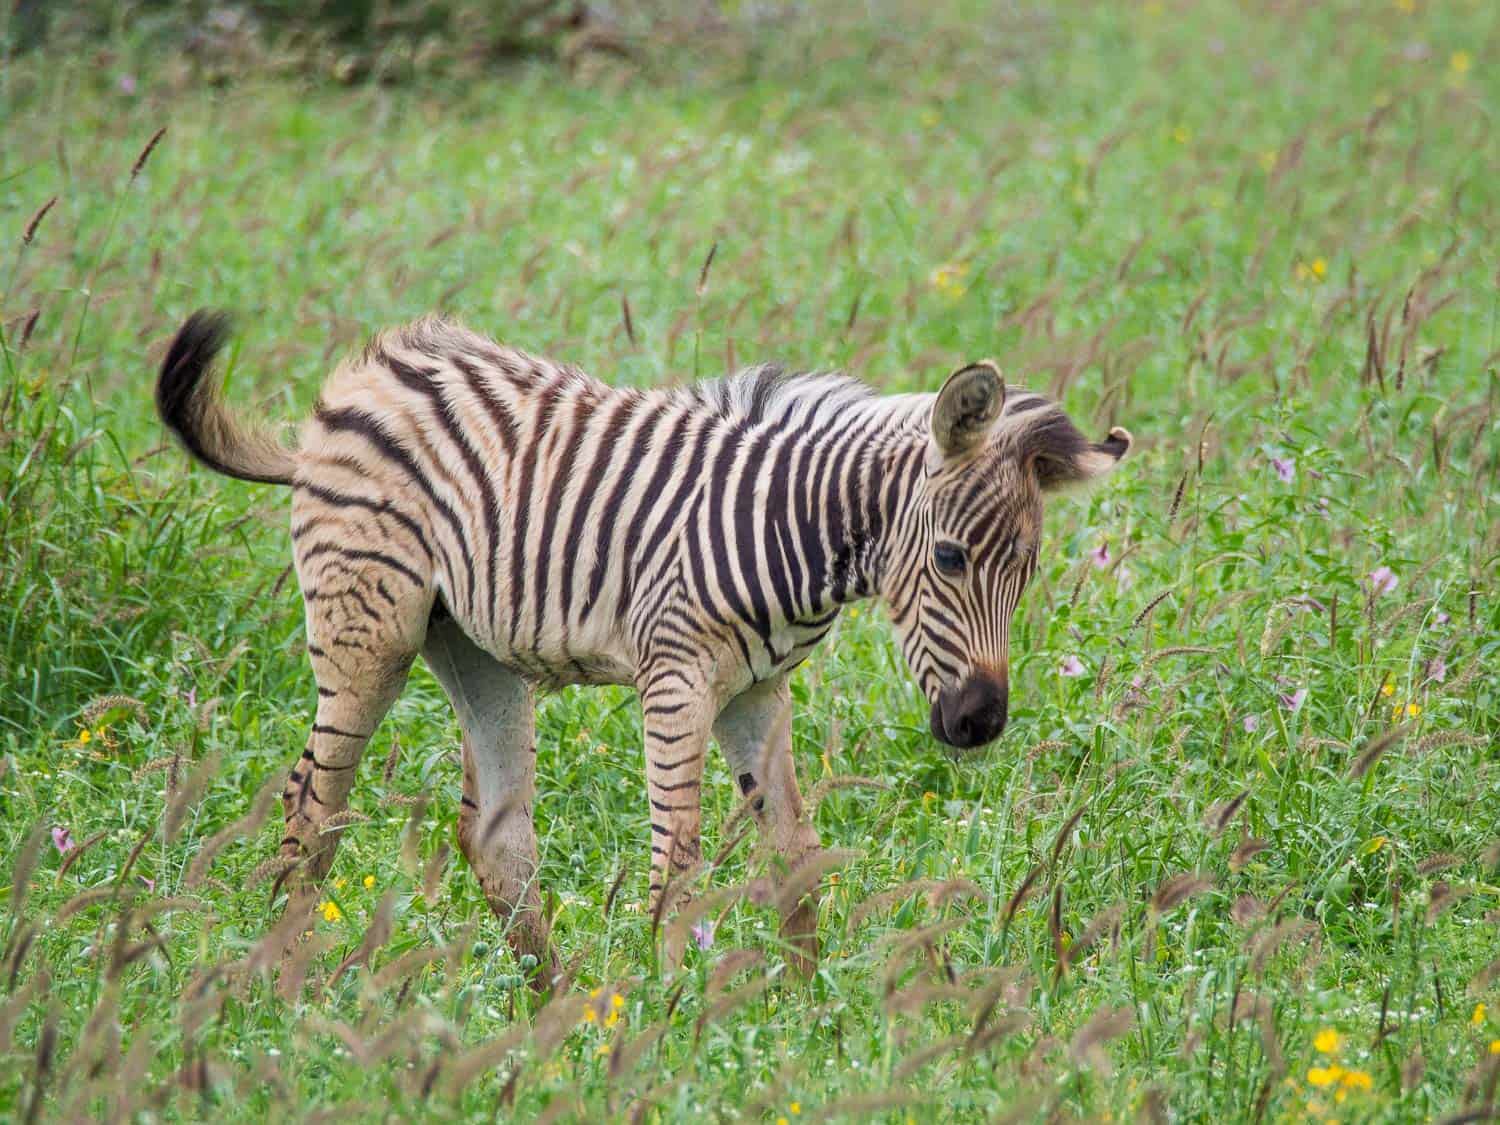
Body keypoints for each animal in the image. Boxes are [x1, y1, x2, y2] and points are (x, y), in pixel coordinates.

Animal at [158, 310, 1128, 984]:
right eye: (951, 557)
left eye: (1027, 570)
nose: (980, 723)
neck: (796, 529)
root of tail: (365, 370)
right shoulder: (676, 676)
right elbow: (681, 860)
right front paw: (672, 1018)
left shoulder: (758, 692)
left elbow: (796, 856)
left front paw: (808, 1014)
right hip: (368, 629)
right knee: (312, 807)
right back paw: (281, 989)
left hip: (473, 648)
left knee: (497, 838)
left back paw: (555, 1010)